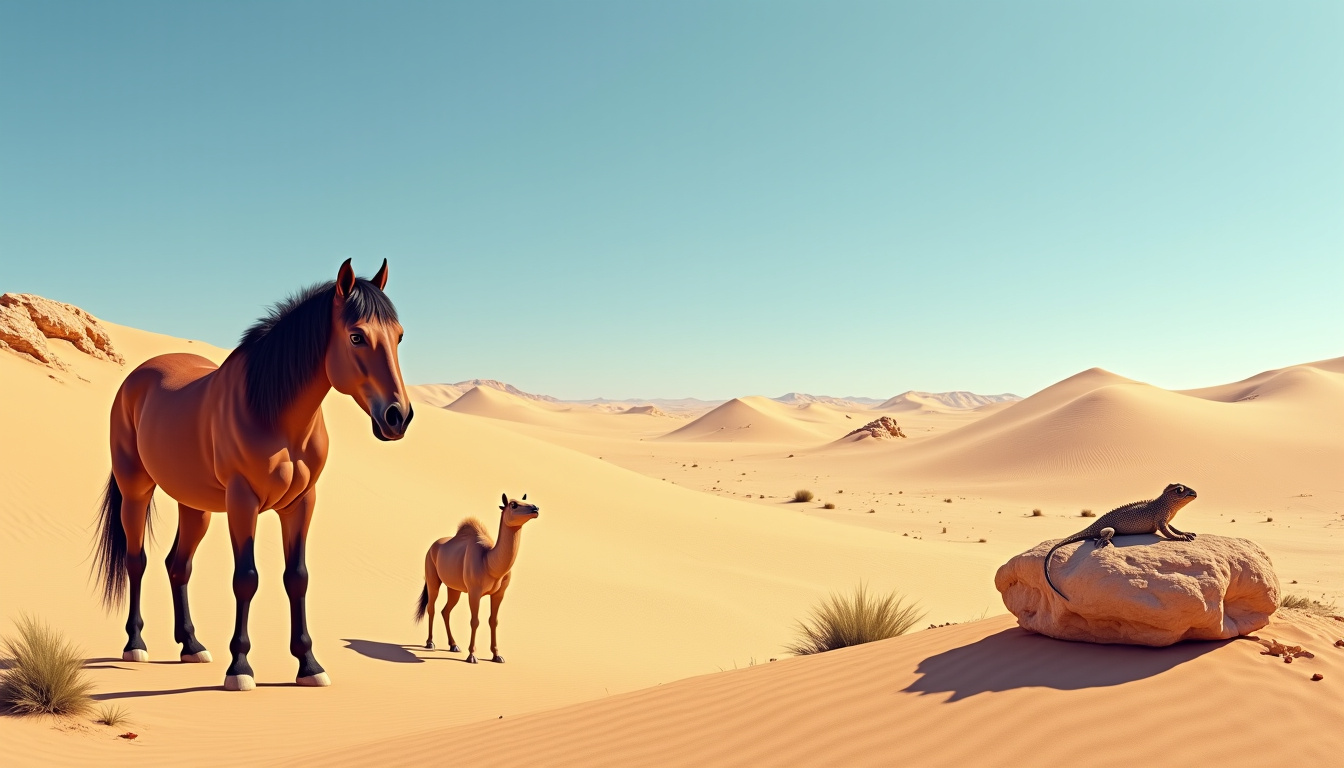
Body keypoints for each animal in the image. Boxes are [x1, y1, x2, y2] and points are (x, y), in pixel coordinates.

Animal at [92, 259, 412, 691]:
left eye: (399, 336)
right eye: (357, 336)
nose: (398, 417)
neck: (274, 414)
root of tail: (136, 377)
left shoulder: (300, 503)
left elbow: (297, 577)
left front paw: (309, 665)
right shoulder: (243, 502)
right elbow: (246, 578)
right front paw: (240, 667)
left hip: (195, 505)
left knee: (178, 565)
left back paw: (191, 645)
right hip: (136, 490)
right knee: (136, 560)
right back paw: (135, 644)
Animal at [414, 493, 540, 663]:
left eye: (525, 500)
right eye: (513, 504)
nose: (535, 508)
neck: (489, 562)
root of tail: (432, 547)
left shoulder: (499, 594)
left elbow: (493, 621)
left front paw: (497, 655)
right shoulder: (474, 592)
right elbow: (475, 621)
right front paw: (472, 656)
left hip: (454, 588)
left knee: (445, 611)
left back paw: (454, 645)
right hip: (432, 577)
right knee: (431, 607)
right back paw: (430, 643)